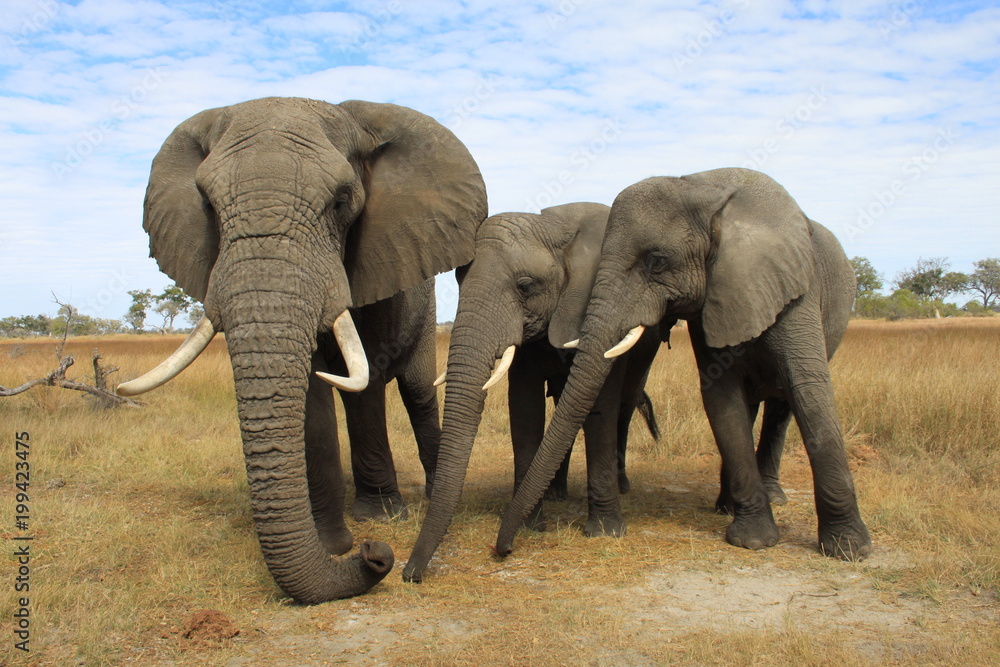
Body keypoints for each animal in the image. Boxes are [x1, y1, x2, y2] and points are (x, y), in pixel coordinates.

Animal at [116, 97, 487, 603]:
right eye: (208, 204)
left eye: (341, 202)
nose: (376, 553)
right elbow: (311, 398)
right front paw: (332, 544)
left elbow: (366, 378)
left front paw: (380, 520)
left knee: (415, 391)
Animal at [402, 202, 662, 583]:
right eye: (459, 280)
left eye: (525, 287)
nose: (409, 574)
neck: (553, 229)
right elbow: (524, 409)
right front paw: (531, 526)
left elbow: (599, 407)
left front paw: (604, 533)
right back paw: (554, 493)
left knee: (623, 408)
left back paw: (621, 486)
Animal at [496, 168, 871, 562]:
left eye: (656, 261)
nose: (504, 549)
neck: (705, 187)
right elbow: (722, 400)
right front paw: (754, 540)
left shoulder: (792, 287)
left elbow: (808, 388)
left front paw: (848, 549)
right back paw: (726, 506)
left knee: (781, 404)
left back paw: (773, 498)